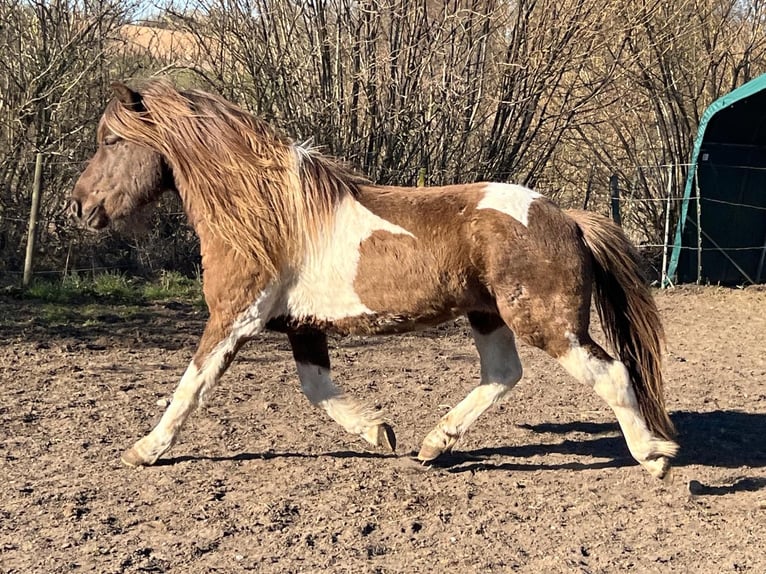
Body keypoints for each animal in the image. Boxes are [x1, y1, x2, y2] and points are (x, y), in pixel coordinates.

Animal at [70, 80, 678, 479]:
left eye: (111, 141)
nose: (80, 206)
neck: (268, 213)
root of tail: (567, 217)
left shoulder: (235, 317)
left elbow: (190, 387)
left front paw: (144, 449)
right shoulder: (300, 324)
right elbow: (317, 389)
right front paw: (380, 432)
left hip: (547, 323)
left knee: (612, 374)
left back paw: (654, 458)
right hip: (487, 314)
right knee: (504, 374)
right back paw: (433, 445)